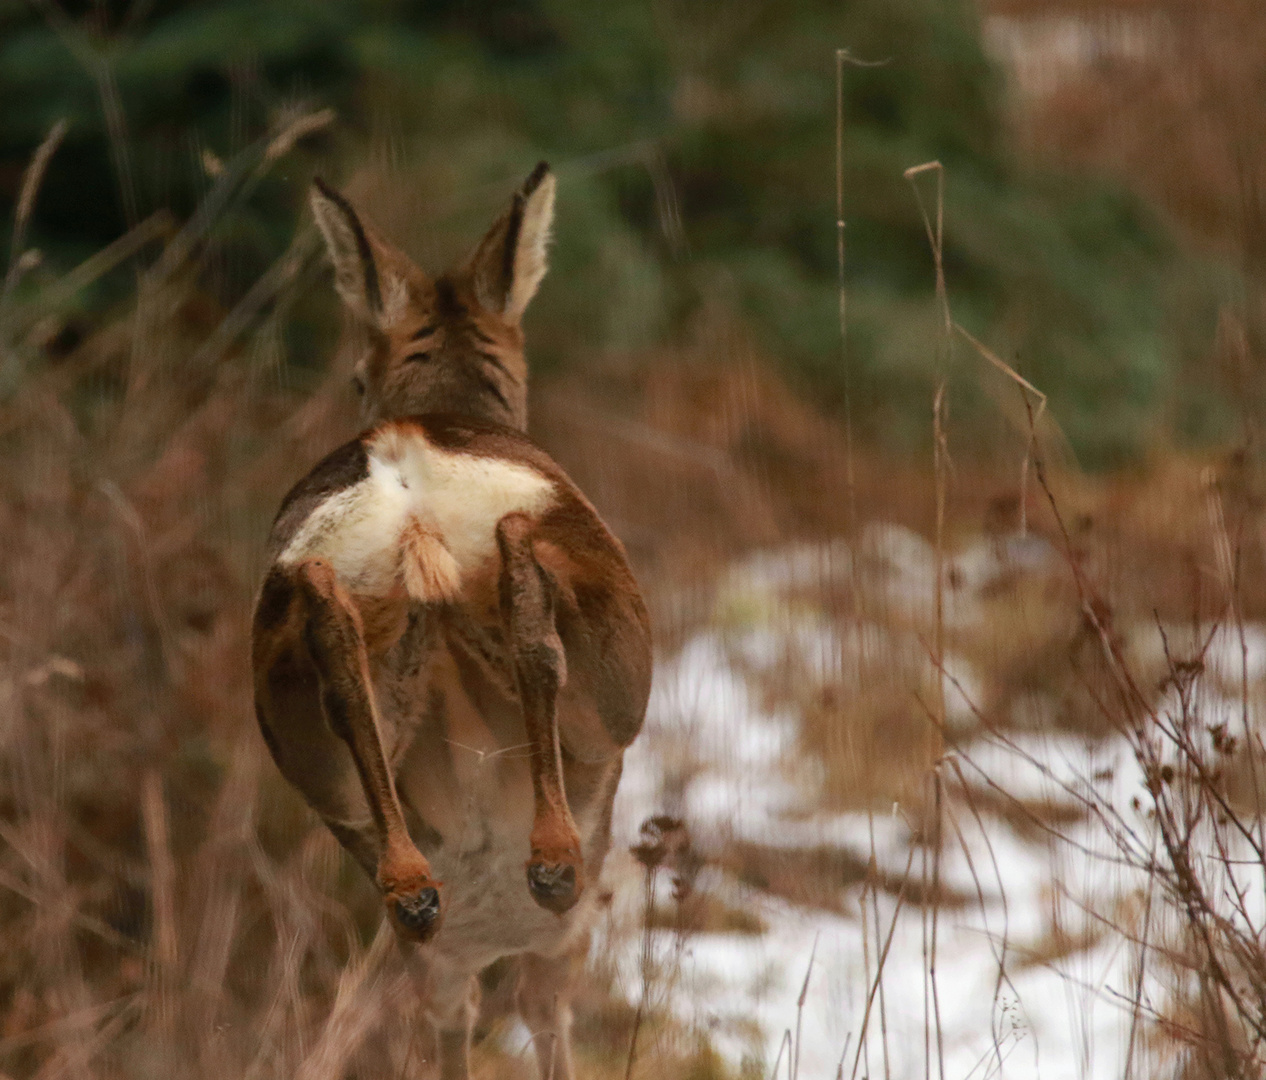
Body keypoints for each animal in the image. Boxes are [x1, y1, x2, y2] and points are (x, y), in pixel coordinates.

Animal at [253, 162, 658, 1078]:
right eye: (356, 377)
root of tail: (409, 450)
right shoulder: (553, 955)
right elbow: (546, 1028)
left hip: (306, 720)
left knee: (344, 678)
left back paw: (414, 886)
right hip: (610, 697)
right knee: (536, 620)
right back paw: (548, 863)